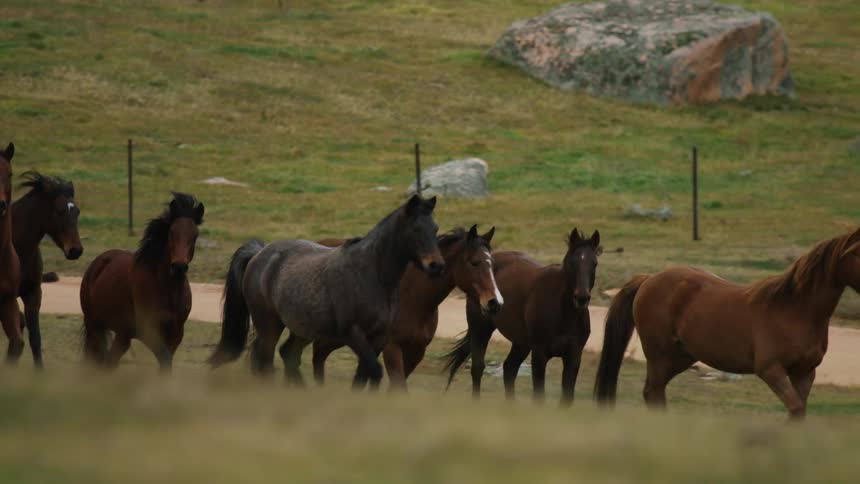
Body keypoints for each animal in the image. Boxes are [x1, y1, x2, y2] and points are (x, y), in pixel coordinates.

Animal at [80, 193, 204, 371]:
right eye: (171, 232)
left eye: (195, 235)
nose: (179, 267)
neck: (168, 290)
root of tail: (97, 263)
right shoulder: (148, 331)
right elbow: (165, 359)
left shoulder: (175, 333)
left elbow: (166, 363)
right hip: (94, 325)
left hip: (122, 333)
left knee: (110, 361)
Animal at [208, 195, 445, 390]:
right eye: (415, 229)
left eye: (435, 229)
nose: (436, 266)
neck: (371, 274)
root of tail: (259, 253)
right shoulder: (353, 333)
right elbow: (374, 373)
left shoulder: (378, 337)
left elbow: (364, 376)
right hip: (269, 324)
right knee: (265, 361)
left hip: (302, 329)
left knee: (285, 355)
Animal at [312, 224, 502, 390]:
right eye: (474, 262)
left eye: (492, 263)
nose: (494, 302)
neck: (413, 297)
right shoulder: (392, 348)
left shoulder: (416, 351)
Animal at [445, 228, 601, 405]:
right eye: (572, 262)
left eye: (594, 263)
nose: (582, 298)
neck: (564, 314)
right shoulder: (539, 355)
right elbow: (539, 397)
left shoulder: (573, 358)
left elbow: (566, 399)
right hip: (481, 330)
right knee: (478, 368)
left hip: (521, 343)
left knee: (509, 369)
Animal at [594, 228, 860, 419]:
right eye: (858, 253)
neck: (795, 310)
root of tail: (648, 279)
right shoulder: (771, 370)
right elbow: (794, 408)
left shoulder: (805, 372)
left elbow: (798, 411)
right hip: (660, 356)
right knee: (653, 392)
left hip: (680, 357)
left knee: (654, 393)